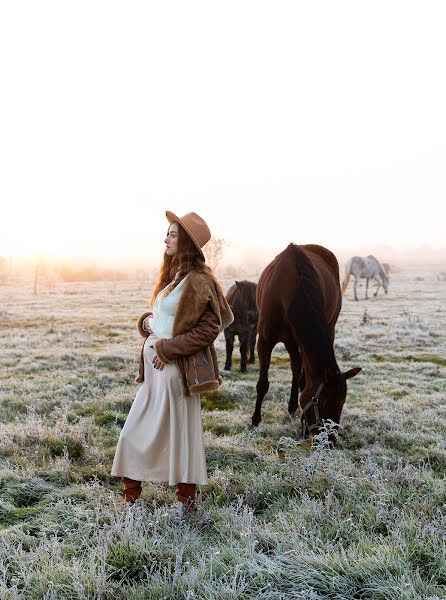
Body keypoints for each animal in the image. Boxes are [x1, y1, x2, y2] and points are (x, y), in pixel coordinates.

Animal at [251, 244, 362, 436]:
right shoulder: (265, 340)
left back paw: (292, 406)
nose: (329, 440)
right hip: (291, 340)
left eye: (342, 404)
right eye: (322, 402)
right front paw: (255, 421)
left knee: (298, 370)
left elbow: (304, 381)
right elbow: (263, 384)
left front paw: (302, 425)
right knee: (295, 367)